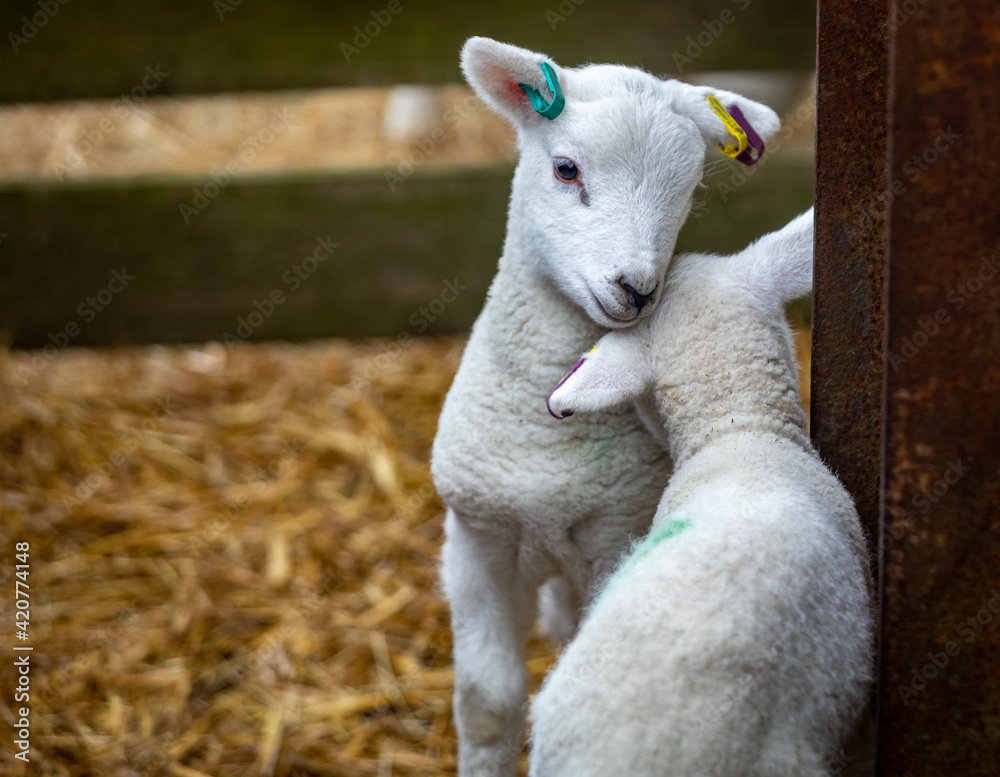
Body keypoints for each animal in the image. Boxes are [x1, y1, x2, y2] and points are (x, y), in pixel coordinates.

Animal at [431, 37, 782, 776]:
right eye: (566, 169)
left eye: (689, 191)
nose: (636, 288)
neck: (542, 433)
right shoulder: (475, 541)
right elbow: (487, 702)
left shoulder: (612, 540)